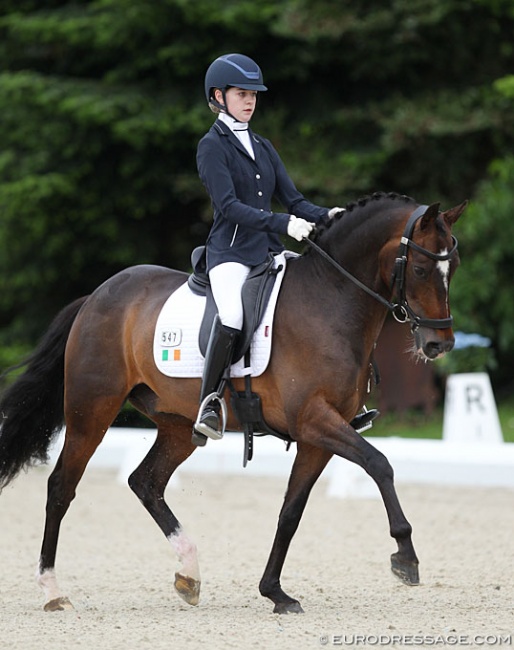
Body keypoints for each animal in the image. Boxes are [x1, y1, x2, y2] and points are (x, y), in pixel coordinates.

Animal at [0, 190, 464, 612]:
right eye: (421, 268)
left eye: (453, 267)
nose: (439, 344)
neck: (329, 299)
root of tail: (95, 297)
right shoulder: (314, 420)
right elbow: (379, 464)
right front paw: (405, 556)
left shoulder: (317, 435)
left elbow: (291, 511)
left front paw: (275, 592)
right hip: (91, 411)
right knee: (62, 487)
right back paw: (52, 591)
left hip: (176, 425)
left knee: (145, 482)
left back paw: (189, 574)